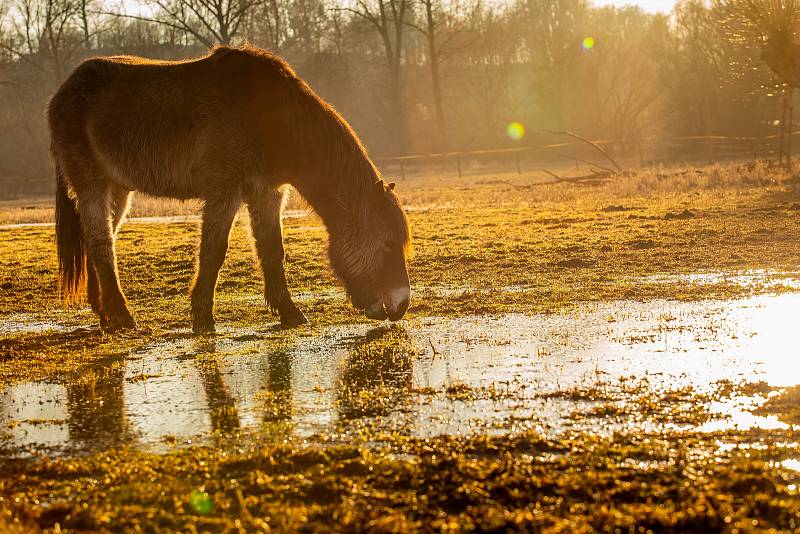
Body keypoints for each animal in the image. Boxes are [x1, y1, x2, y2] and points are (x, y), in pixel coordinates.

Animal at [48, 45, 412, 336]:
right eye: (387, 242)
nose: (401, 306)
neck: (271, 118)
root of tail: (64, 91)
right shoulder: (224, 191)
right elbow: (213, 251)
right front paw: (202, 318)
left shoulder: (267, 193)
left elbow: (272, 250)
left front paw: (289, 312)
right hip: (92, 186)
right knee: (101, 244)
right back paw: (123, 317)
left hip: (119, 190)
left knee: (100, 240)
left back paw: (105, 314)